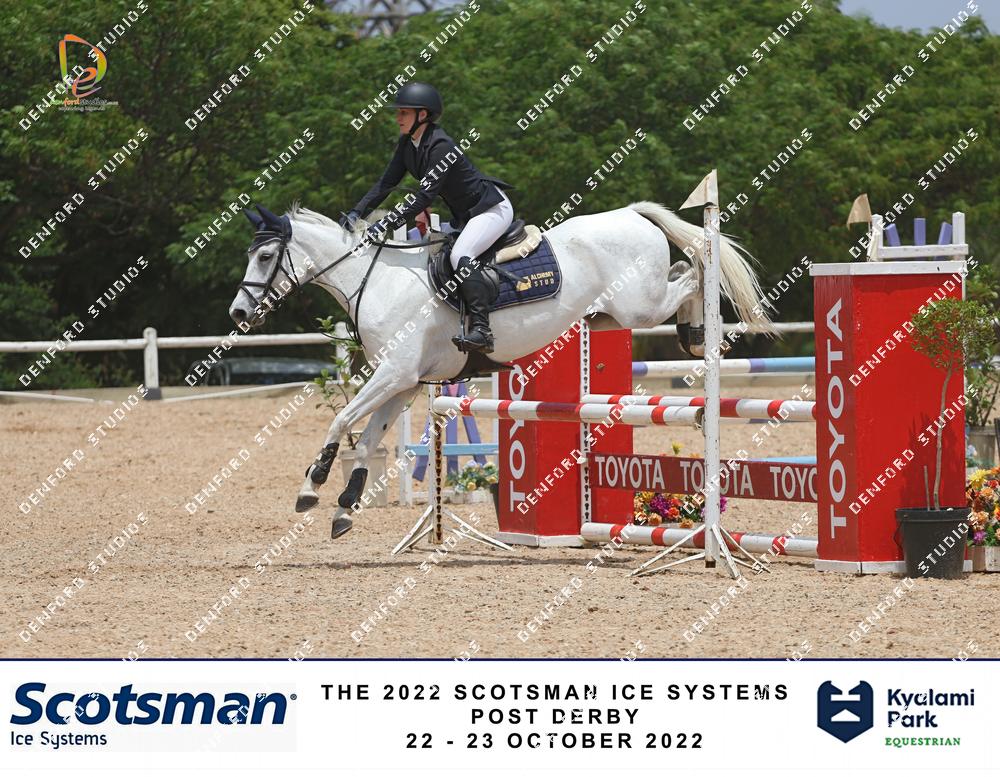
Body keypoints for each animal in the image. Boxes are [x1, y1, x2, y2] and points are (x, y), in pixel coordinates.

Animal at [231, 202, 771, 538]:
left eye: (265, 255)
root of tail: (630, 214)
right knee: (685, 271)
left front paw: (312, 486)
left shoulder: (392, 376)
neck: (378, 281)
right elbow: (364, 440)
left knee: (693, 271)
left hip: (641, 305)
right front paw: (344, 507)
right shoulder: (404, 384)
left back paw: (697, 331)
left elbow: (341, 420)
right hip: (613, 315)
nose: (238, 314)